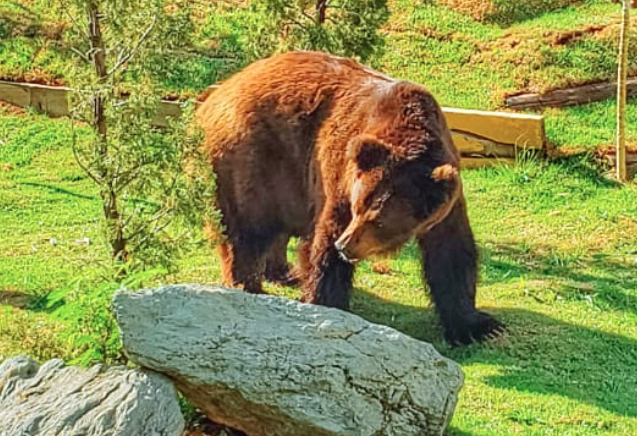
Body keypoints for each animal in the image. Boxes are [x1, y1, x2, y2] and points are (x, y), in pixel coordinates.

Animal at [196, 51, 504, 344]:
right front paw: (326, 303)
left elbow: (451, 254)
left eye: (379, 220)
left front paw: (477, 326)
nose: (345, 245)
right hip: (252, 158)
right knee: (247, 229)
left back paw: (283, 272)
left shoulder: (445, 200)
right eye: (359, 208)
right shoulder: (339, 176)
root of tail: (216, 93)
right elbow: (323, 242)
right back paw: (247, 286)